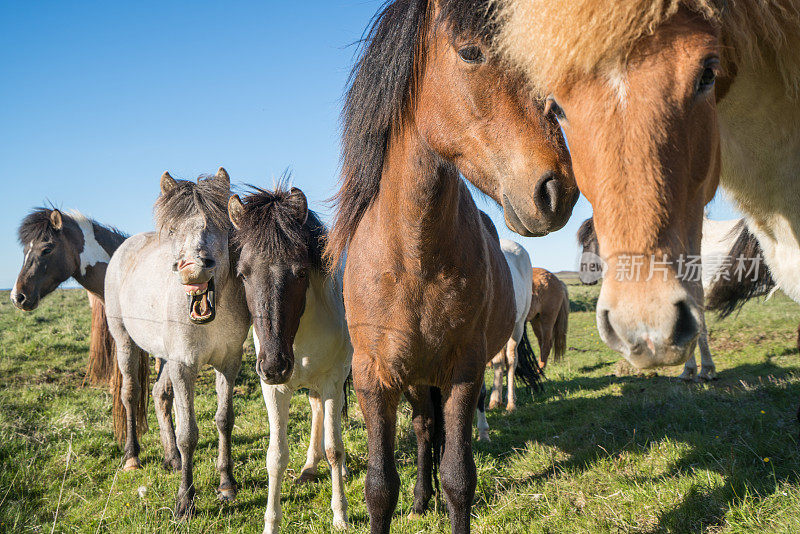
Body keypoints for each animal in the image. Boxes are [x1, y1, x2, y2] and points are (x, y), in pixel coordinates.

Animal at [106, 169, 248, 520]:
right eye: (173, 231)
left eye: (221, 225)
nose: (193, 268)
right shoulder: (185, 366)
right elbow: (188, 434)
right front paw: (185, 501)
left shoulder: (229, 363)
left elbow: (224, 420)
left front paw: (227, 485)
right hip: (125, 341)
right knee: (131, 394)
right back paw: (132, 457)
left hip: (166, 357)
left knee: (159, 395)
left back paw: (171, 458)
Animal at [225, 185, 350, 534]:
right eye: (243, 274)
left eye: (301, 271)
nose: (274, 366)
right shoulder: (274, 390)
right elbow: (276, 456)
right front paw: (271, 523)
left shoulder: (333, 381)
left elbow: (335, 448)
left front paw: (340, 515)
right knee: (316, 409)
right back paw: (309, 467)